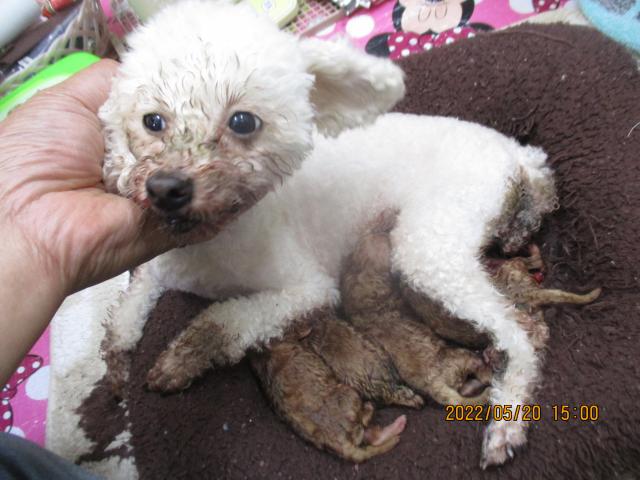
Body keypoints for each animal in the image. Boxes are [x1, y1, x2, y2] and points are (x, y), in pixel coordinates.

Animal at [99, 0, 557, 467]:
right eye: (152, 121)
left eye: (243, 122)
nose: (166, 188)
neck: (214, 237)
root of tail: (517, 153)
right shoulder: (156, 268)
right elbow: (124, 319)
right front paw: (117, 375)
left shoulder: (308, 290)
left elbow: (228, 319)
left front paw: (180, 360)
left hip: (429, 246)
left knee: (520, 333)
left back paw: (507, 422)